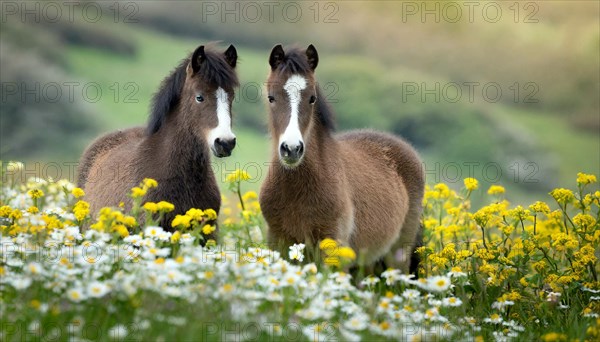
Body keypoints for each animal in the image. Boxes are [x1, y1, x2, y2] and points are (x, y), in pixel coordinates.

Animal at [260, 44, 424, 272]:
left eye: (312, 98)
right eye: (271, 97)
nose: (291, 149)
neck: (296, 189)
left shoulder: (333, 246)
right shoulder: (278, 240)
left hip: (398, 254)